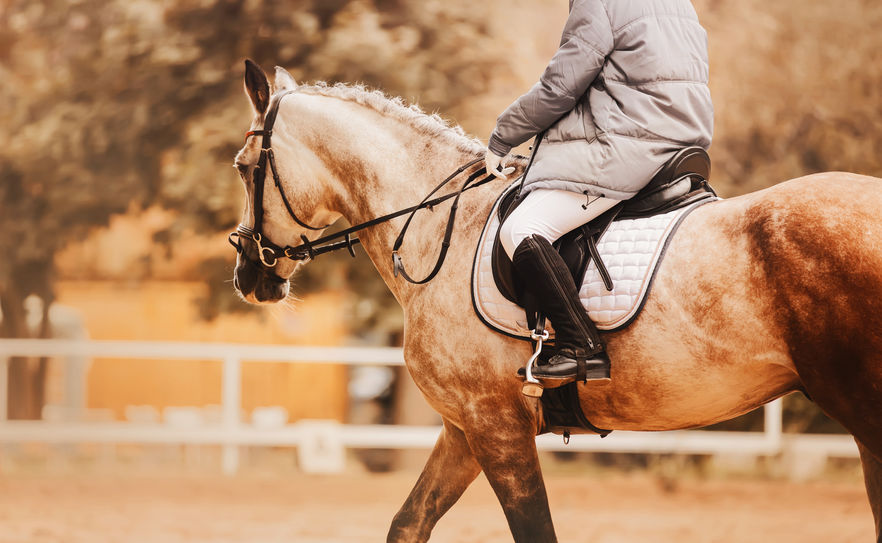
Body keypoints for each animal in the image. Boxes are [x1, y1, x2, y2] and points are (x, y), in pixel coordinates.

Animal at [225, 61, 880, 540]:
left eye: (243, 166)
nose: (248, 273)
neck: (441, 228)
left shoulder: (497, 428)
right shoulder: (465, 429)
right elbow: (408, 524)